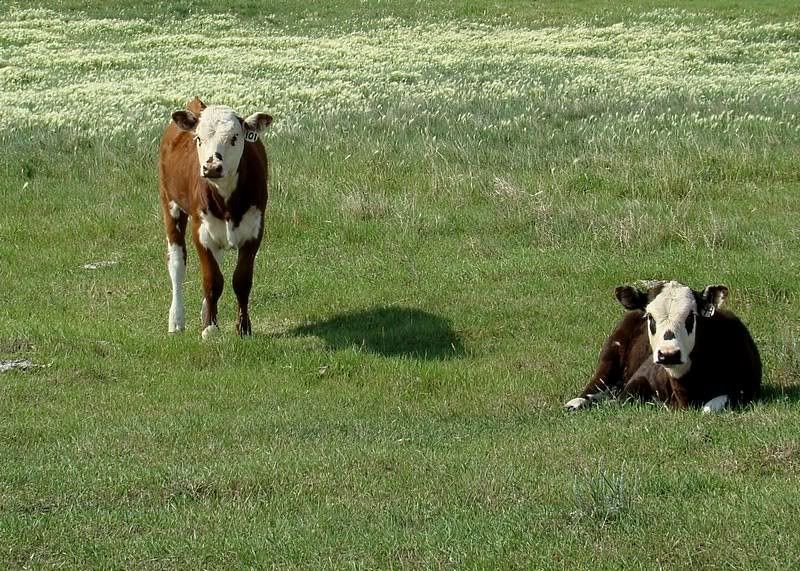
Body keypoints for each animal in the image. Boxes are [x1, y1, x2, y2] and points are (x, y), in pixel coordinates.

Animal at [158, 97, 274, 340]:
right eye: (199, 138)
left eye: (234, 137)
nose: (211, 166)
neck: (227, 200)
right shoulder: (201, 233)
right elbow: (212, 280)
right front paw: (210, 328)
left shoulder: (254, 230)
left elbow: (241, 280)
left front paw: (243, 327)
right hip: (170, 204)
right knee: (177, 263)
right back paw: (176, 320)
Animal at [564, 282, 764, 414]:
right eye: (650, 317)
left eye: (690, 316)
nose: (669, 354)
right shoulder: (637, 380)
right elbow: (623, 399)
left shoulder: (746, 389)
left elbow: (709, 408)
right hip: (610, 356)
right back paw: (575, 403)